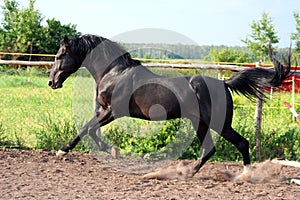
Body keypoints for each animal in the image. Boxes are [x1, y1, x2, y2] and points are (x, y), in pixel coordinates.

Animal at [48, 34, 290, 177]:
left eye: (61, 55)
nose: (52, 82)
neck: (115, 72)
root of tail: (223, 83)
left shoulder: (112, 111)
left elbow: (85, 129)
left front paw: (62, 150)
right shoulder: (104, 111)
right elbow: (91, 130)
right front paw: (114, 151)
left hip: (216, 123)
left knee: (238, 143)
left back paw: (241, 175)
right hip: (200, 123)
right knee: (212, 148)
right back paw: (192, 172)